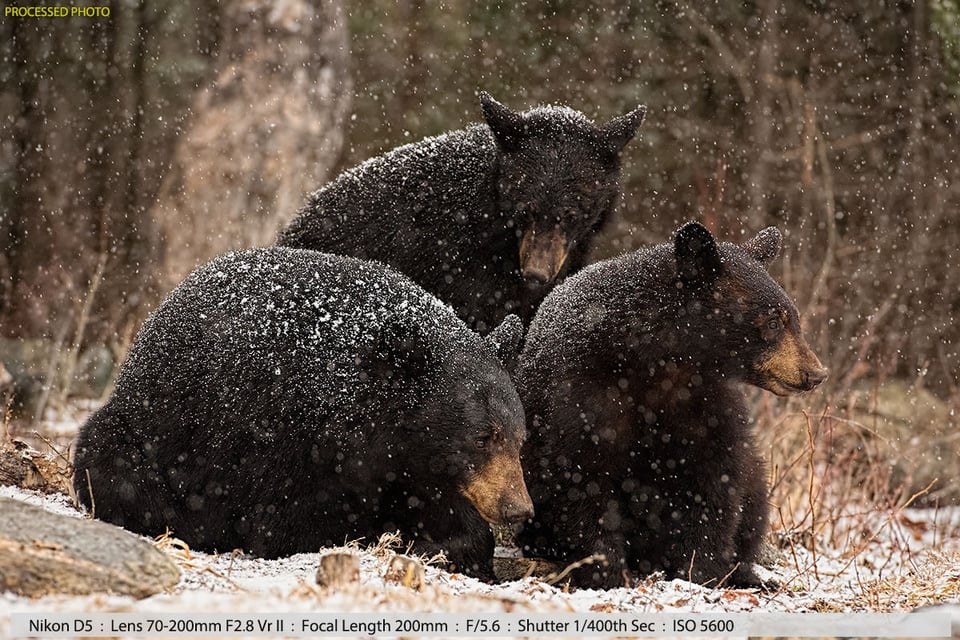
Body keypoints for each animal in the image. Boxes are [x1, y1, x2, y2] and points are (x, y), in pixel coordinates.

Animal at [71, 246, 536, 580]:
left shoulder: (411, 464)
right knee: (118, 470)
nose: (519, 509)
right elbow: (291, 524)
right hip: (142, 432)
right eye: (482, 437)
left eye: (519, 440)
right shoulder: (281, 436)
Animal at [512, 222, 828, 588]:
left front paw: (701, 570)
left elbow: (716, 477)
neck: (658, 360)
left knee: (753, 501)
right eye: (773, 322)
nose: (816, 373)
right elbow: (579, 476)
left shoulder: (706, 400)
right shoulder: (579, 394)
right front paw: (606, 571)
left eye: (794, 318)